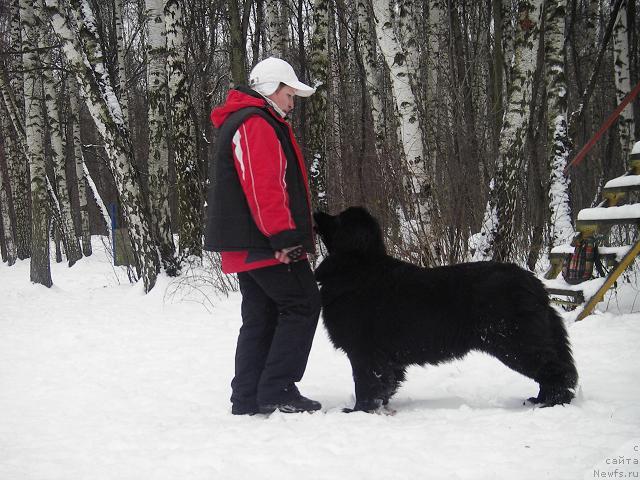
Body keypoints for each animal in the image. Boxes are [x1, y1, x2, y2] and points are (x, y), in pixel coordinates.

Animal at [316, 206, 580, 412]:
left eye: (338, 219)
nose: (317, 211)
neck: (357, 267)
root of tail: (535, 284)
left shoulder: (364, 352)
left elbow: (365, 384)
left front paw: (357, 411)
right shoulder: (386, 359)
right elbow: (386, 384)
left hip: (517, 342)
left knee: (556, 371)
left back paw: (551, 403)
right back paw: (540, 400)